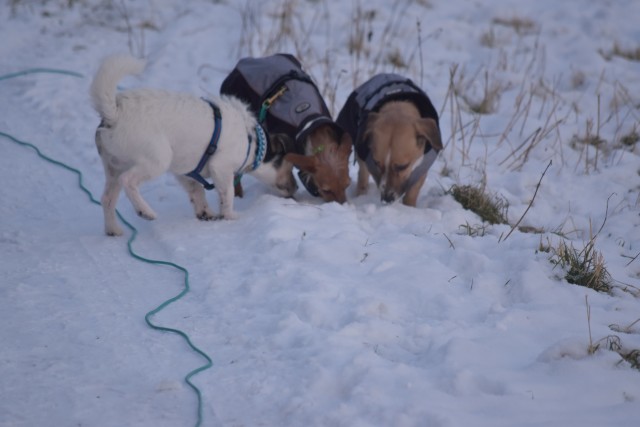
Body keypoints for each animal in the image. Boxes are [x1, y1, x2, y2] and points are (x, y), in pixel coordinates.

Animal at [89, 54, 296, 237]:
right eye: (289, 166)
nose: (295, 190)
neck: (252, 141)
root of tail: (114, 114)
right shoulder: (221, 167)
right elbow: (227, 194)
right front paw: (230, 216)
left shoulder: (186, 172)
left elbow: (197, 191)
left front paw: (206, 213)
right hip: (156, 160)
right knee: (128, 180)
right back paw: (145, 211)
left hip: (114, 167)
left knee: (107, 198)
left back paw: (113, 230)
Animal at [338, 73, 442, 207]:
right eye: (377, 163)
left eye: (402, 166)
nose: (386, 199)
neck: (398, 106)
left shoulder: (422, 169)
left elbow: (413, 190)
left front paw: (409, 207)